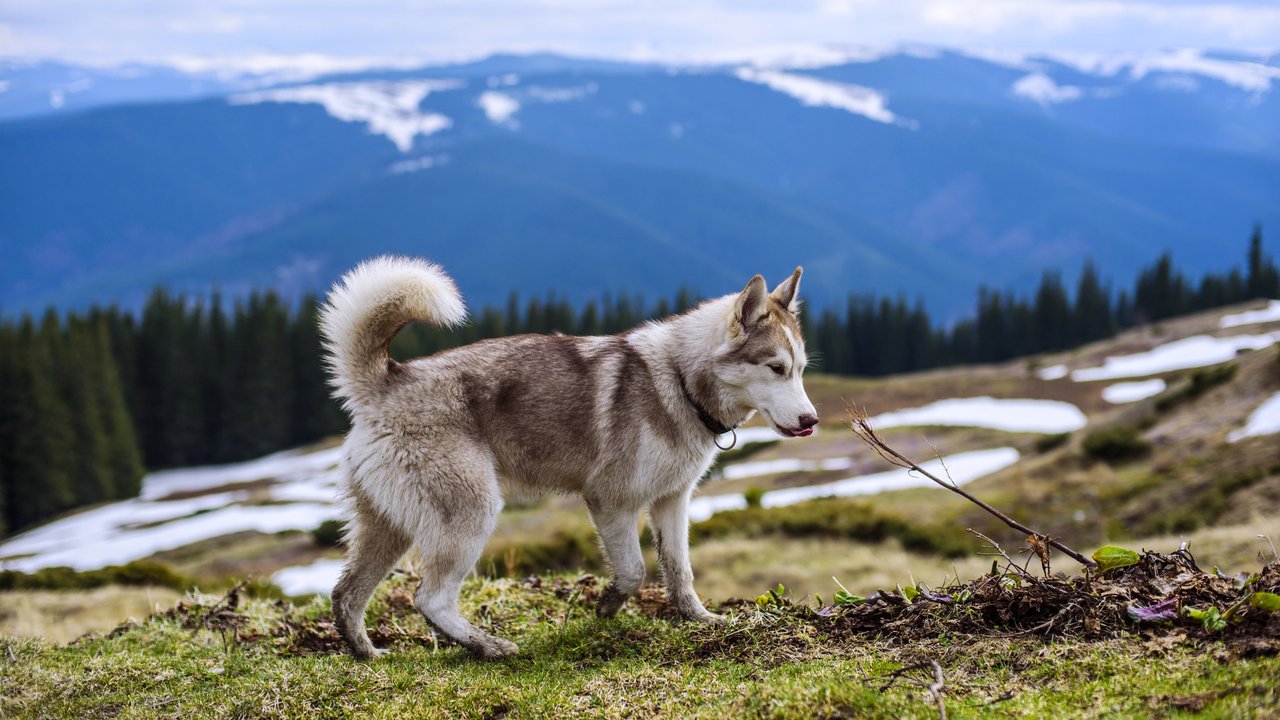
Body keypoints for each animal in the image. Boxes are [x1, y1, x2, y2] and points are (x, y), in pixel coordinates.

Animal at [320, 256, 819, 655]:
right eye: (775, 368)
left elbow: (680, 572)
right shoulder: (611, 500)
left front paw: (700, 620)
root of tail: (388, 379)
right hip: (470, 514)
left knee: (345, 594)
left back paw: (367, 654)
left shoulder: (671, 502)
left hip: (387, 530)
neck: (679, 381)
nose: (811, 419)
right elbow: (635, 570)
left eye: (799, 370)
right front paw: (608, 606)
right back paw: (489, 647)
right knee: (430, 599)